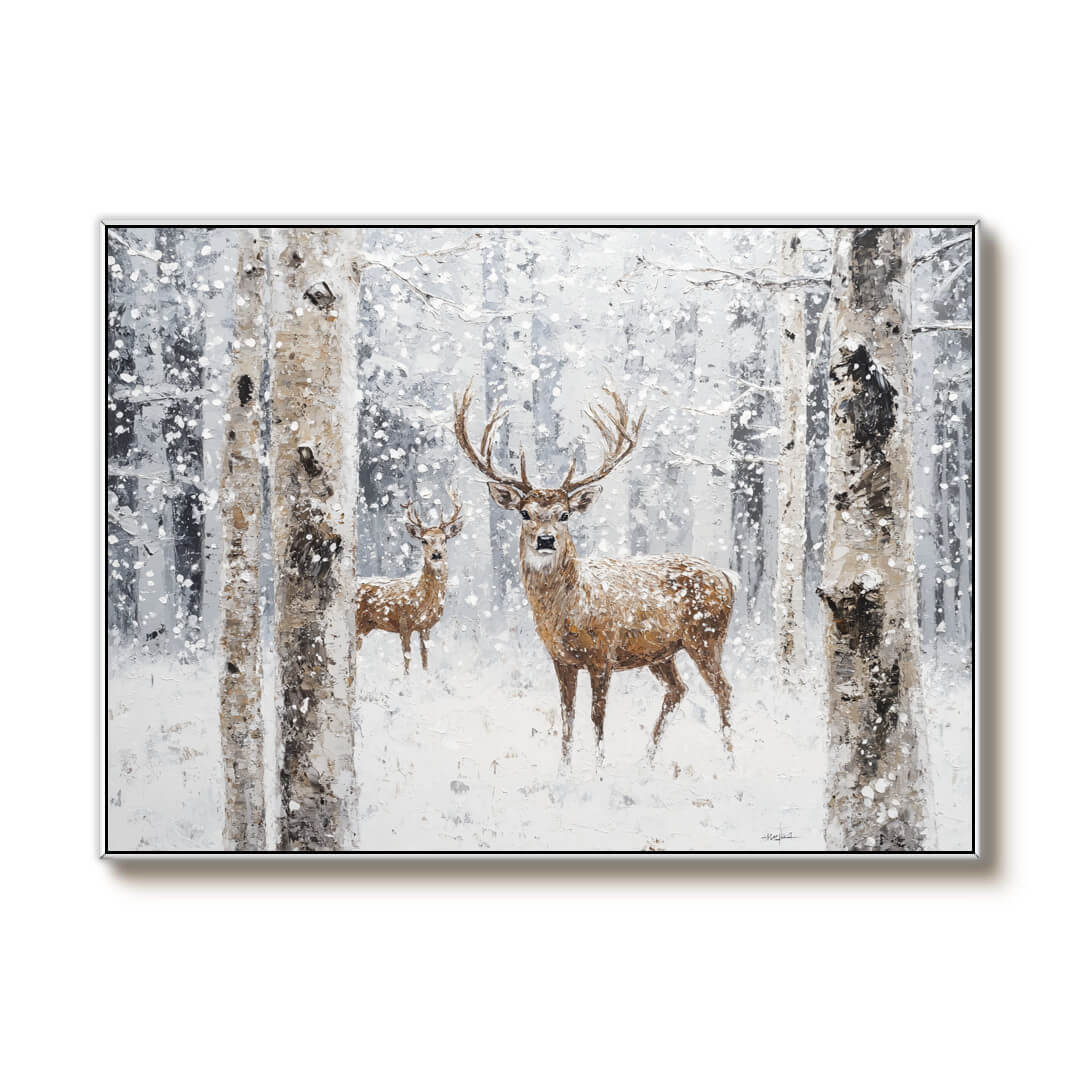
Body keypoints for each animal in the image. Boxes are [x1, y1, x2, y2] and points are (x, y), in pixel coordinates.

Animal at [354, 493, 464, 674]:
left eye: (444, 539)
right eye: (424, 540)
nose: (436, 554)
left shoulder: (425, 626)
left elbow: (425, 655)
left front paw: (426, 675)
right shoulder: (404, 623)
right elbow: (407, 657)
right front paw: (407, 679)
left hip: (365, 627)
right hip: (357, 622)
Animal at [453, 381, 736, 765]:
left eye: (565, 514)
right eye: (525, 512)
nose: (545, 539)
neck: (566, 610)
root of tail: (727, 577)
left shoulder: (603, 654)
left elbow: (597, 715)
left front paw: (600, 769)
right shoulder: (561, 659)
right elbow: (567, 714)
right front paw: (565, 768)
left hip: (706, 636)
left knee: (723, 688)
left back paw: (730, 758)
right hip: (662, 651)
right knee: (679, 689)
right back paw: (647, 761)